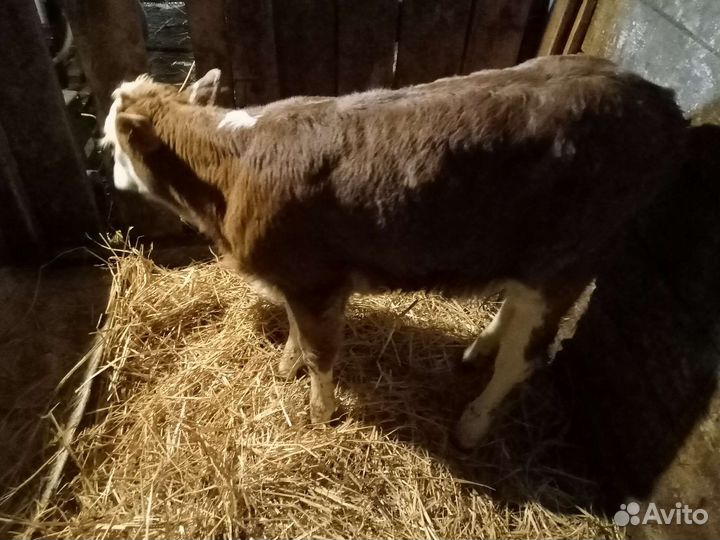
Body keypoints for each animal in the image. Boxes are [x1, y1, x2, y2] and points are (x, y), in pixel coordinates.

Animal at [102, 55, 687, 448]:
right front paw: (286, 367)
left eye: (111, 146)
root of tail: (660, 99)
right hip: (528, 255)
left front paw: (320, 412)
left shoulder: (316, 280)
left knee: (523, 359)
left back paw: (472, 425)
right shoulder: (297, 280)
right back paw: (478, 349)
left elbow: (320, 353)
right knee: (511, 308)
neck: (231, 164)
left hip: (568, 258)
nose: (112, 182)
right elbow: (295, 333)